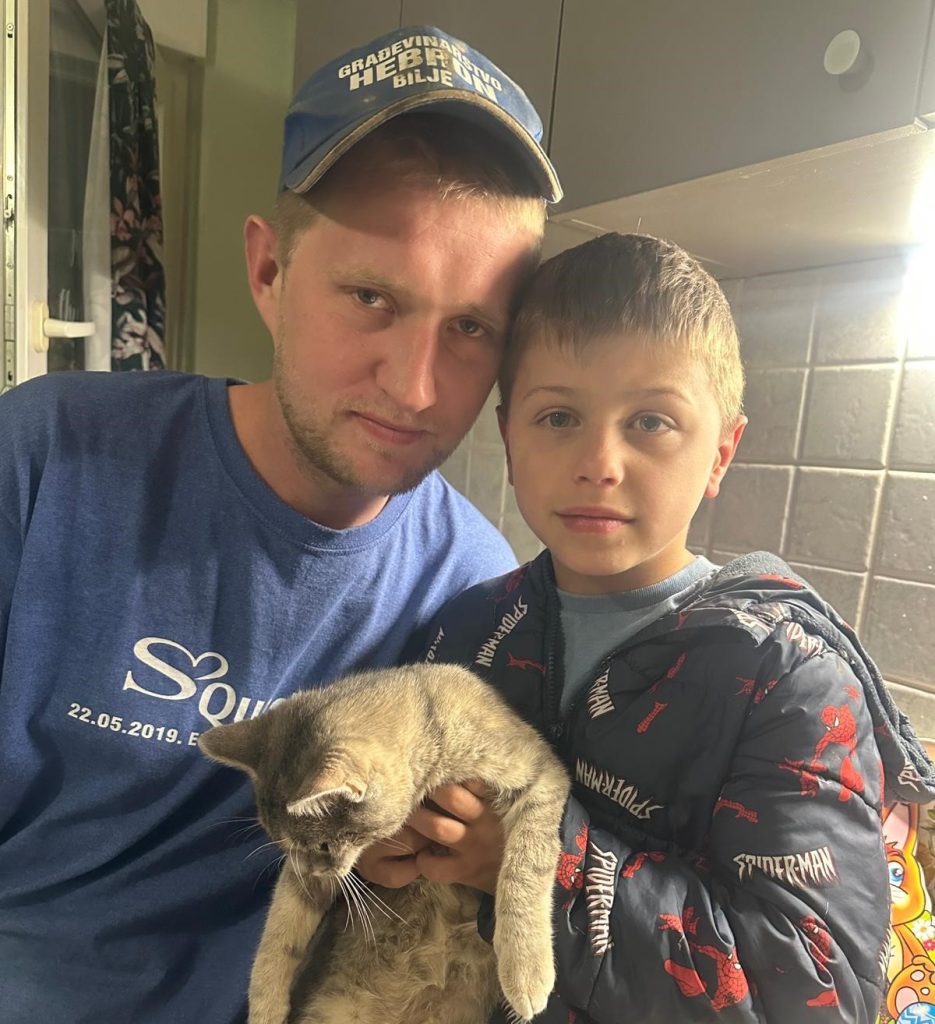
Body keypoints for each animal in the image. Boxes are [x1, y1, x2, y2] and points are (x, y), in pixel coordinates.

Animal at [199, 662, 571, 1024]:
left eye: (322, 845)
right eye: (284, 844)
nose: (309, 871)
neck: (431, 717)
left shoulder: (541, 775)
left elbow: (525, 870)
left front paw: (526, 969)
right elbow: (279, 930)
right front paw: (265, 1008)